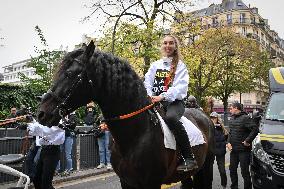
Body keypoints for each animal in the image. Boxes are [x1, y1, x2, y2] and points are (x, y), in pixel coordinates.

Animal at [38, 41, 215, 189]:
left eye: (69, 73)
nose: (41, 113)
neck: (136, 135)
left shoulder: (152, 183)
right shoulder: (126, 181)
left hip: (206, 167)